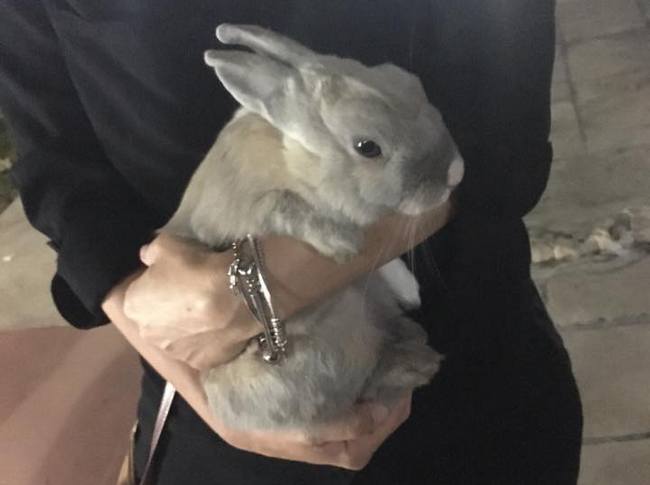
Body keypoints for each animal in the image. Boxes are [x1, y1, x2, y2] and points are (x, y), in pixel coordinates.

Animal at [162, 23, 465, 437]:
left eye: (409, 81)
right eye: (367, 147)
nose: (456, 172)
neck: (296, 161)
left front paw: (408, 288)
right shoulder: (246, 211)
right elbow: (283, 206)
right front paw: (341, 243)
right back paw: (412, 365)